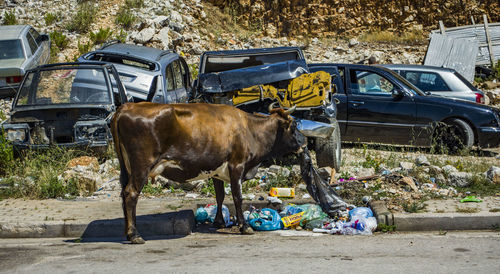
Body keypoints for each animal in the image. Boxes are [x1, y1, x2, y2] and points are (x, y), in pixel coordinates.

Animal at [112, 101, 304, 243]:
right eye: (294, 125)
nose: (304, 143)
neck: (250, 130)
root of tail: (126, 107)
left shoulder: (216, 170)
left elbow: (220, 196)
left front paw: (219, 221)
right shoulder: (237, 165)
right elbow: (237, 197)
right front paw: (245, 227)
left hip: (126, 168)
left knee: (123, 193)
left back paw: (127, 232)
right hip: (142, 165)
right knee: (131, 193)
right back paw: (134, 235)